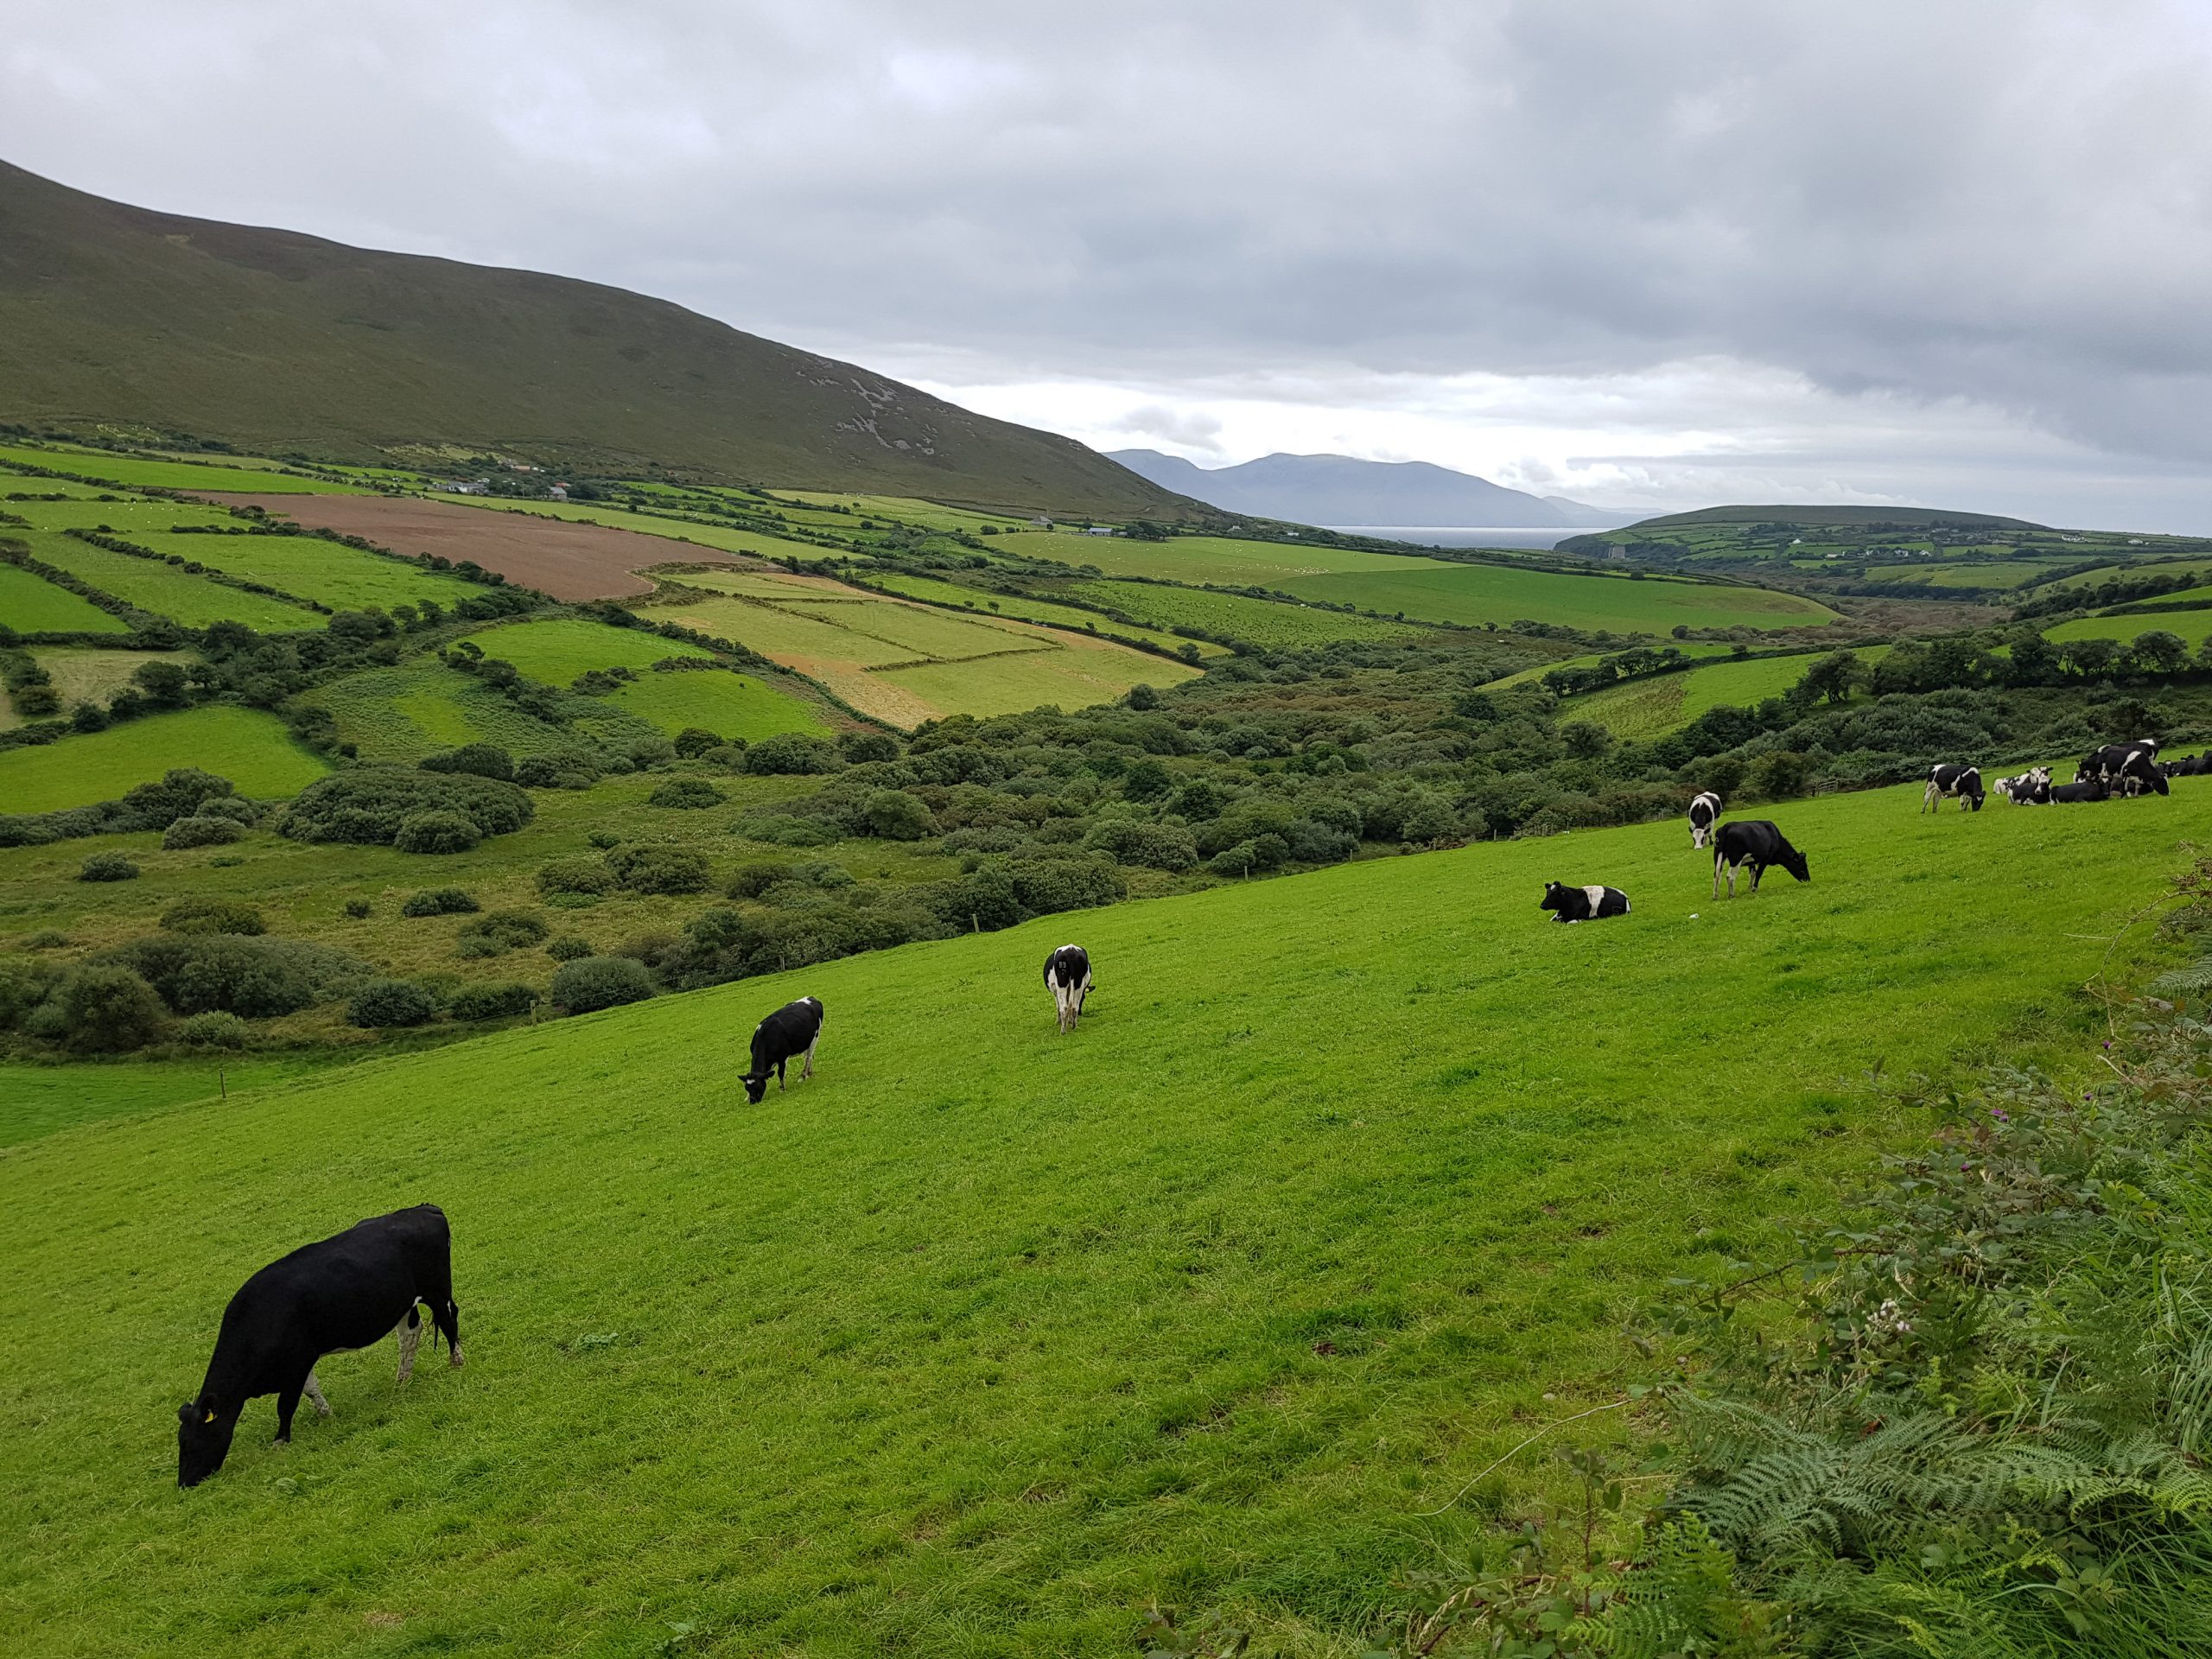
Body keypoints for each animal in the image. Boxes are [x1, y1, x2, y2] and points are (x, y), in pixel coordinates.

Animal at [177, 1204, 461, 1488]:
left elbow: (286, 1404)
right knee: (409, 1335)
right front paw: (326, 1414)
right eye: (181, 1443)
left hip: (437, 1290)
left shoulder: (298, 1360)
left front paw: (280, 1441)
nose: (184, 1483)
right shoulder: (299, 1361)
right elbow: (311, 1390)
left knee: (449, 1319)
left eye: (192, 1443)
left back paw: (456, 1362)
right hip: (404, 1303)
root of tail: (424, 1209)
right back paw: (402, 1381)